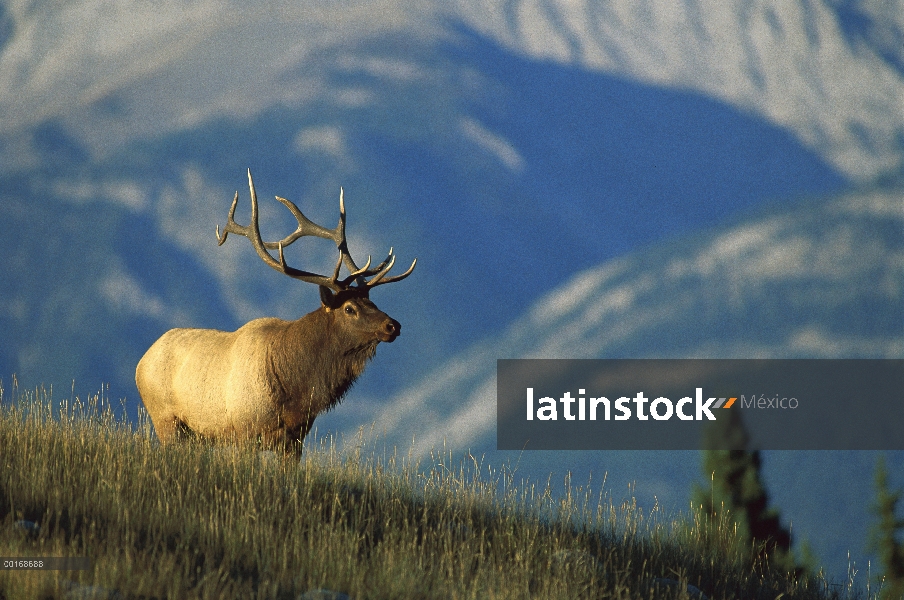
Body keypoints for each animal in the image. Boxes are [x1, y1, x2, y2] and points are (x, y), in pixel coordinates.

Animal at [136, 169, 418, 454]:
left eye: (372, 302)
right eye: (349, 308)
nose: (392, 325)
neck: (295, 391)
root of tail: (143, 361)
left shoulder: (295, 439)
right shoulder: (244, 433)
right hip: (165, 421)